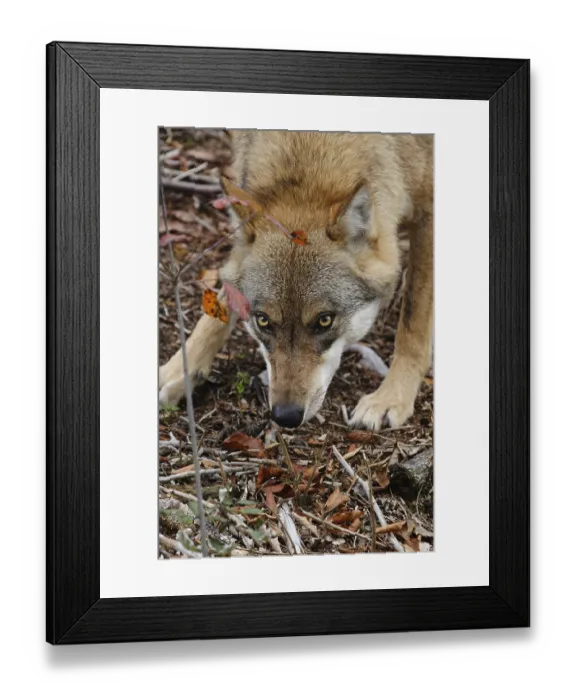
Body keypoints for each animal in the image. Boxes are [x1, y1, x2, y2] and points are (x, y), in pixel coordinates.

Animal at [159, 130, 433, 430]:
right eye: (263, 321)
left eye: (325, 320)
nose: (285, 416)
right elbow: (218, 308)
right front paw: (176, 372)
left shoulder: (428, 211)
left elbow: (413, 324)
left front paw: (391, 397)